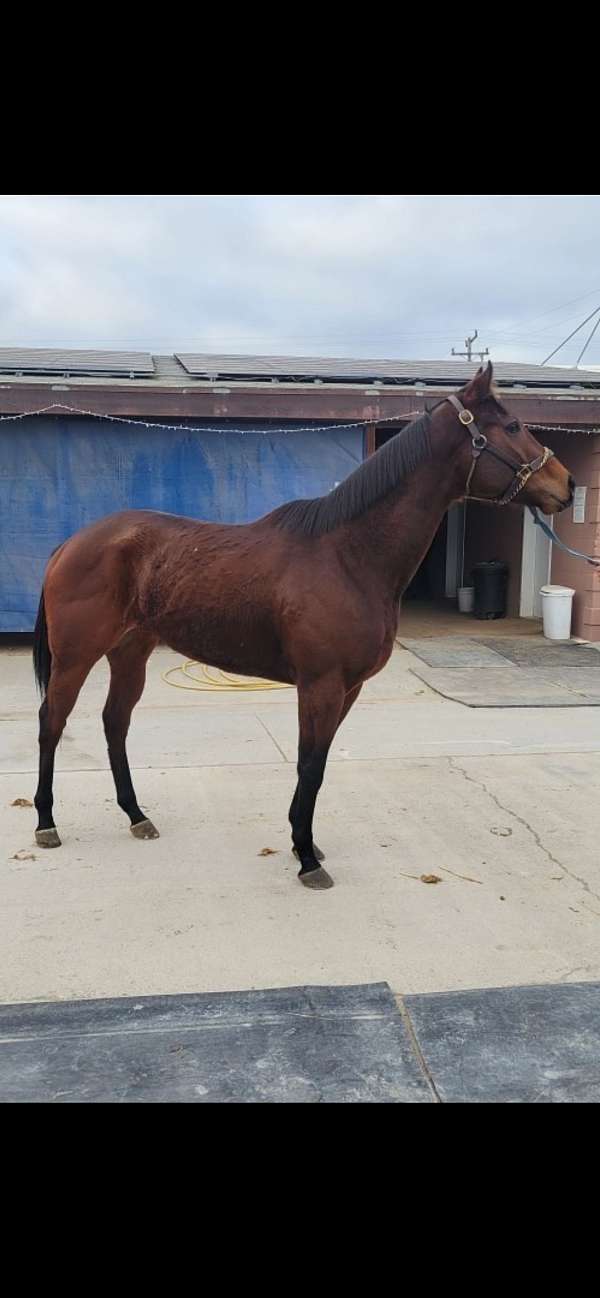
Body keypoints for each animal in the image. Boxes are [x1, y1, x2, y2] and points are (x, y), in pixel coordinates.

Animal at [32, 362, 574, 888]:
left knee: (115, 722)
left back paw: (136, 815)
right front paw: (307, 858)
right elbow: (310, 765)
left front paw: (303, 843)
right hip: (76, 656)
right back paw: (46, 823)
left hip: (130, 652)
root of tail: (71, 543)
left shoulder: (347, 688)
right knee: (52, 722)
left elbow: (317, 762)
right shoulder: (321, 685)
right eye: (513, 426)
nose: (566, 485)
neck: (349, 557)